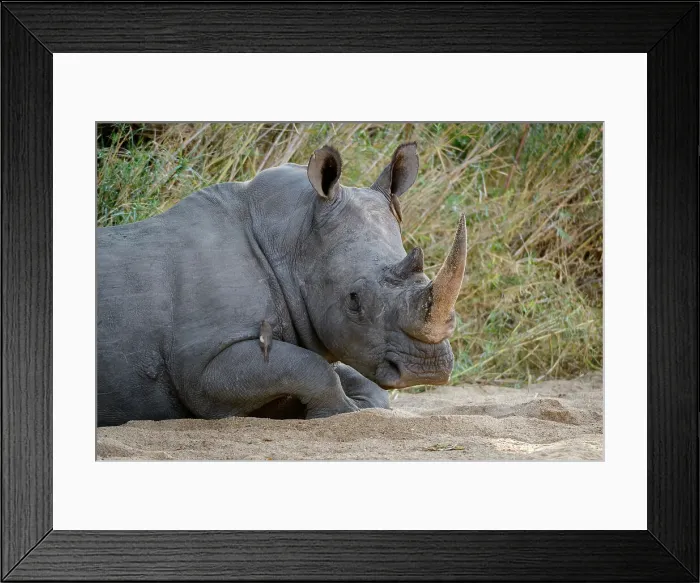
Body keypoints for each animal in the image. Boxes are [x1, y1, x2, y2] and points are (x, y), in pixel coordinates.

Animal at [97, 143, 467, 426]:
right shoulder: (201, 368)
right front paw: (341, 410)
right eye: (354, 300)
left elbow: (349, 377)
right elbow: (310, 367)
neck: (292, 241)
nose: (426, 369)